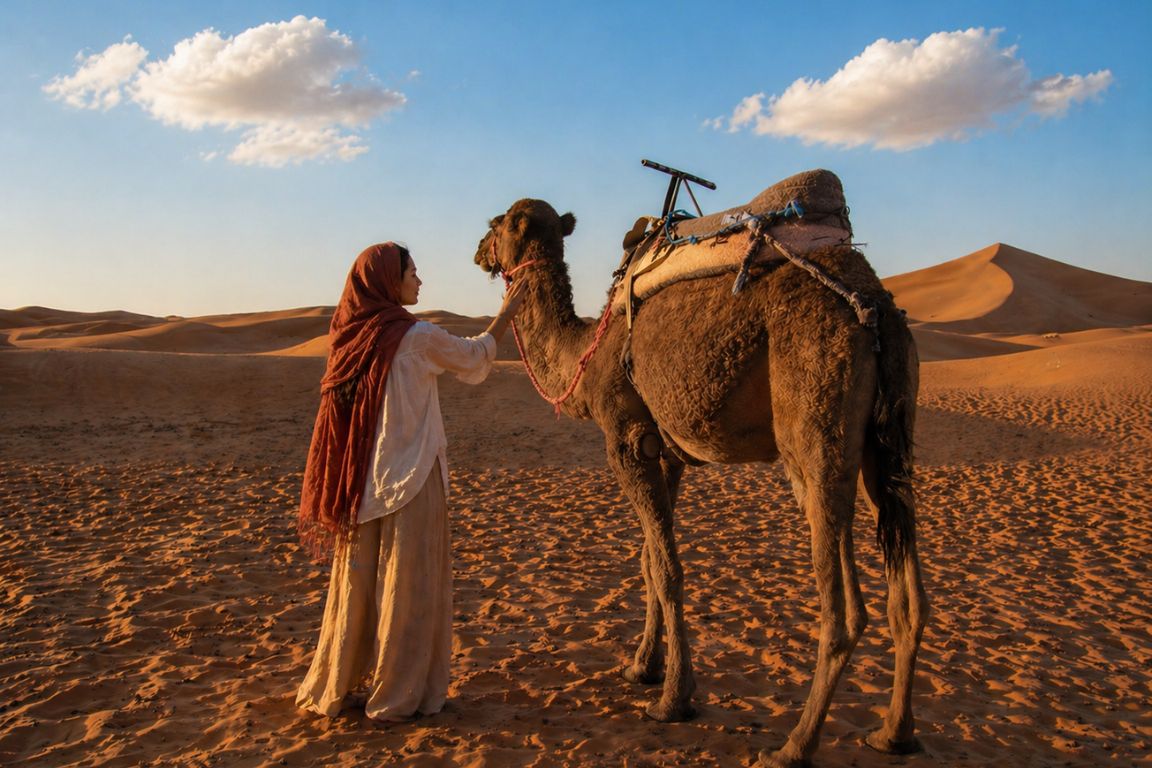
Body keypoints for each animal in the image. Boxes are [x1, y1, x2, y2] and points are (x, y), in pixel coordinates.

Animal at [473, 170, 929, 768]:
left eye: (497, 223)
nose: (478, 251)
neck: (585, 355)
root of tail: (875, 306)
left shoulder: (626, 439)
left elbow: (668, 570)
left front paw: (674, 699)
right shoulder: (666, 454)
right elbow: (649, 561)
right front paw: (642, 667)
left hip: (815, 425)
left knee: (844, 608)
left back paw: (794, 745)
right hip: (890, 442)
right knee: (909, 593)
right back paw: (894, 732)